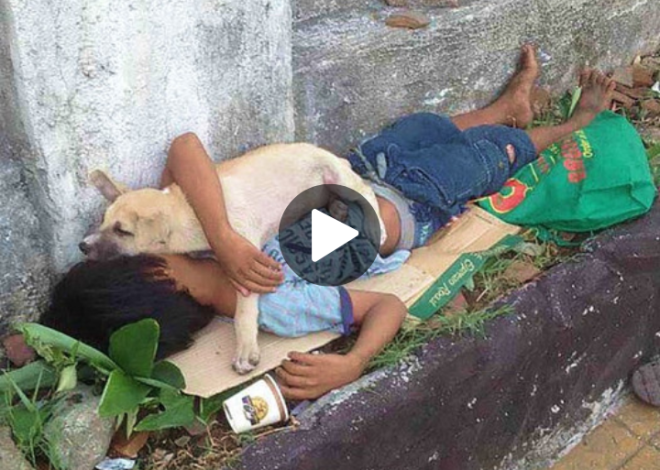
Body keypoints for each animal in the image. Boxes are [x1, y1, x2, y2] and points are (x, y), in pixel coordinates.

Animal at [79, 143, 386, 374]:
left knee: (366, 192)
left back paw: (376, 227)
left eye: (122, 231)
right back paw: (336, 209)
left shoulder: (245, 256)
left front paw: (245, 350)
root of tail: (330, 153)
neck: (189, 212)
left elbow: (244, 310)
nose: (83, 246)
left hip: (338, 177)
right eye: (103, 222)